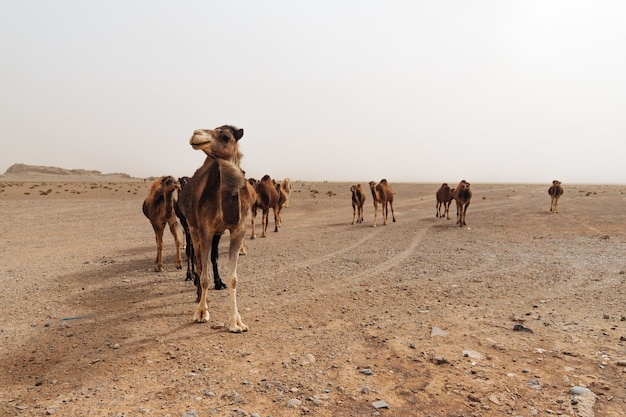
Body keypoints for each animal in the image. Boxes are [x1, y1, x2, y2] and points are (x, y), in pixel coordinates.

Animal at [174, 123, 252, 328]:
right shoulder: (205, 230)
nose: (196, 134)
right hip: (192, 227)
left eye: (225, 137)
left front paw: (236, 322)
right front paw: (201, 312)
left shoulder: (238, 230)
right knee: (197, 260)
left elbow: (233, 278)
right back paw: (197, 294)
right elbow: (204, 276)